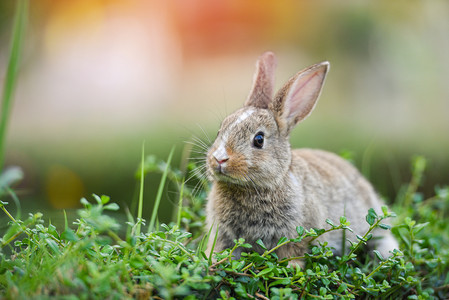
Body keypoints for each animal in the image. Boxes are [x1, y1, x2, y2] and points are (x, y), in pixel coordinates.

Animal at [203, 51, 396, 264]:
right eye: (220, 130)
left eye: (259, 139)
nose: (219, 159)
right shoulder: (224, 236)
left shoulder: (297, 233)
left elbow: (293, 252)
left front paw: (292, 267)